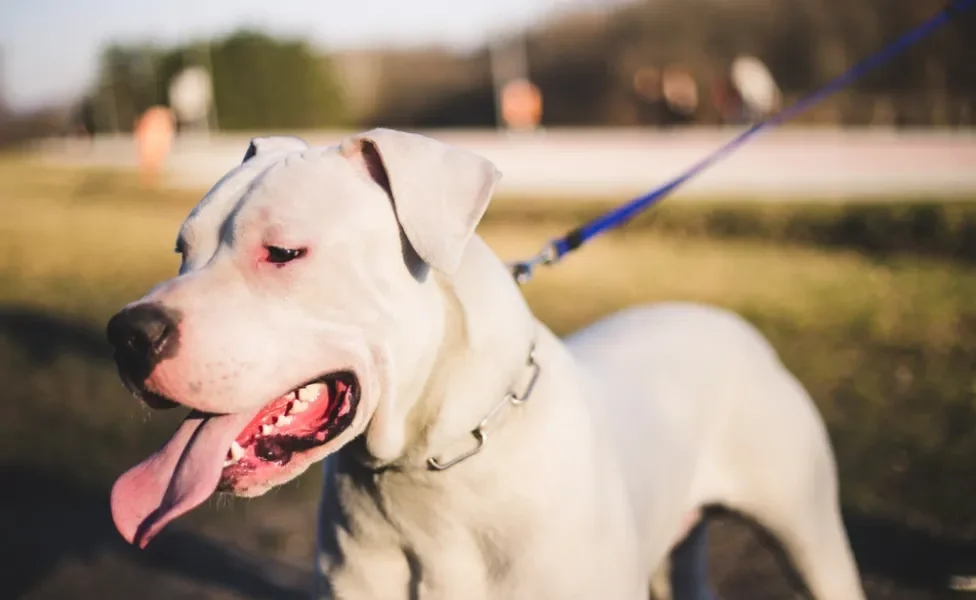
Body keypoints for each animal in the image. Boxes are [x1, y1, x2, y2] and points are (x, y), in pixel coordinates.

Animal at [107, 129, 864, 596]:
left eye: (284, 252)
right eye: (182, 248)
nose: (126, 335)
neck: (427, 472)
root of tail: (731, 324)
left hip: (812, 537)